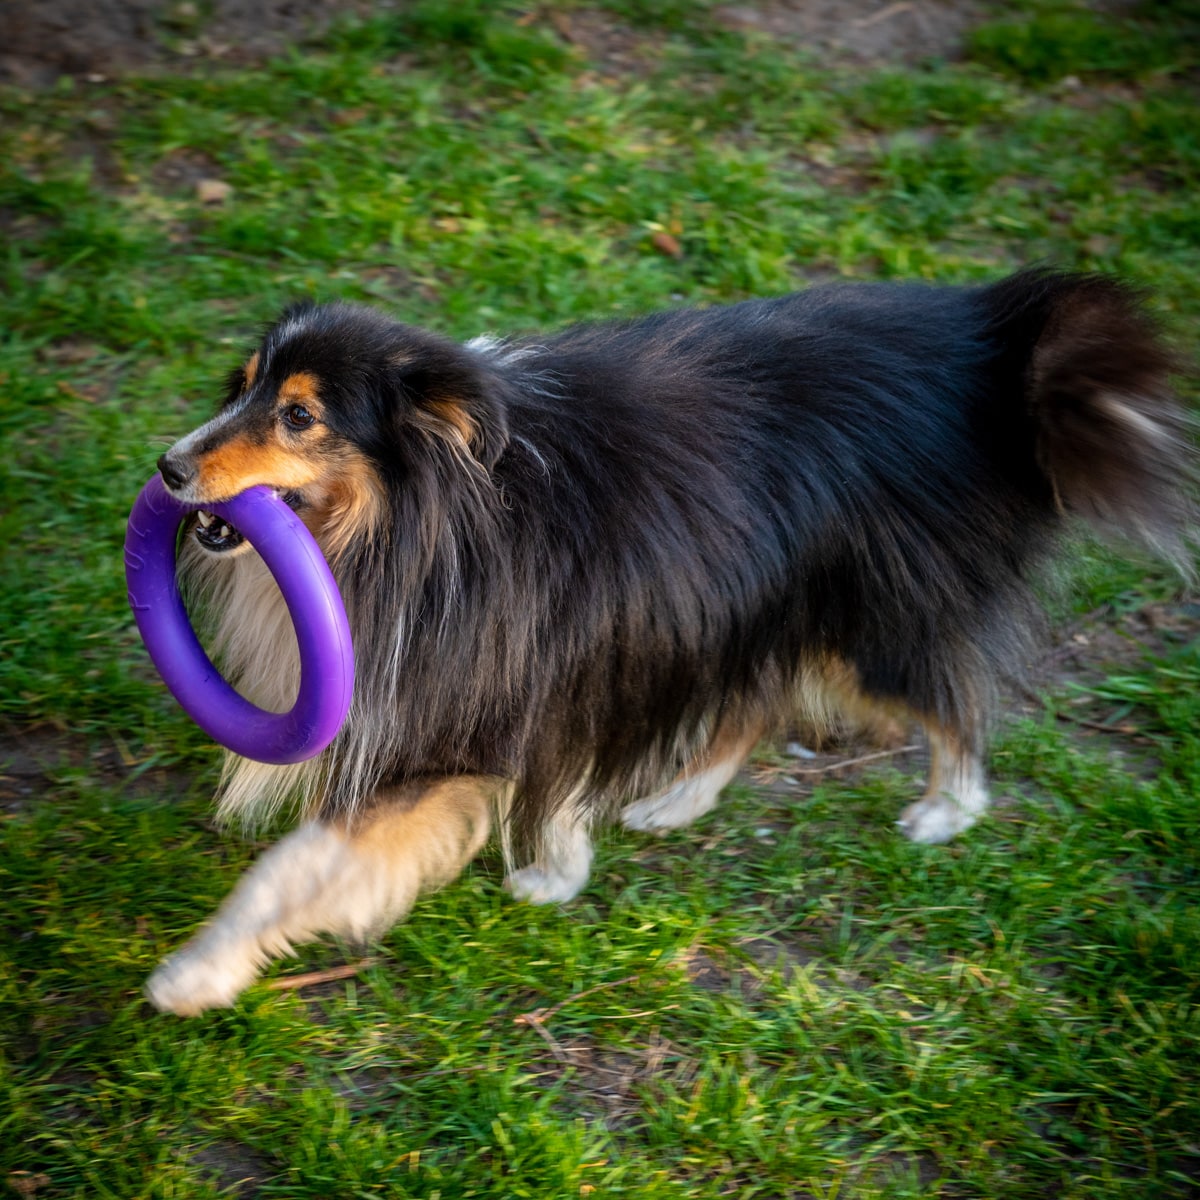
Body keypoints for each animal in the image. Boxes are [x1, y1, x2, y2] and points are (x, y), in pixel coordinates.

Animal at [140, 270, 1190, 1012]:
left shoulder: (444, 723)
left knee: (950, 703)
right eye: (240, 389)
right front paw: (560, 868)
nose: (169, 467)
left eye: (299, 415)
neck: (423, 518)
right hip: (761, 601)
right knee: (755, 702)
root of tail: (991, 352)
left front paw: (193, 975)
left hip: (869, 616)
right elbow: (556, 782)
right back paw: (675, 800)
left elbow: (292, 868)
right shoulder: (549, 671)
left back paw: (945, 812)